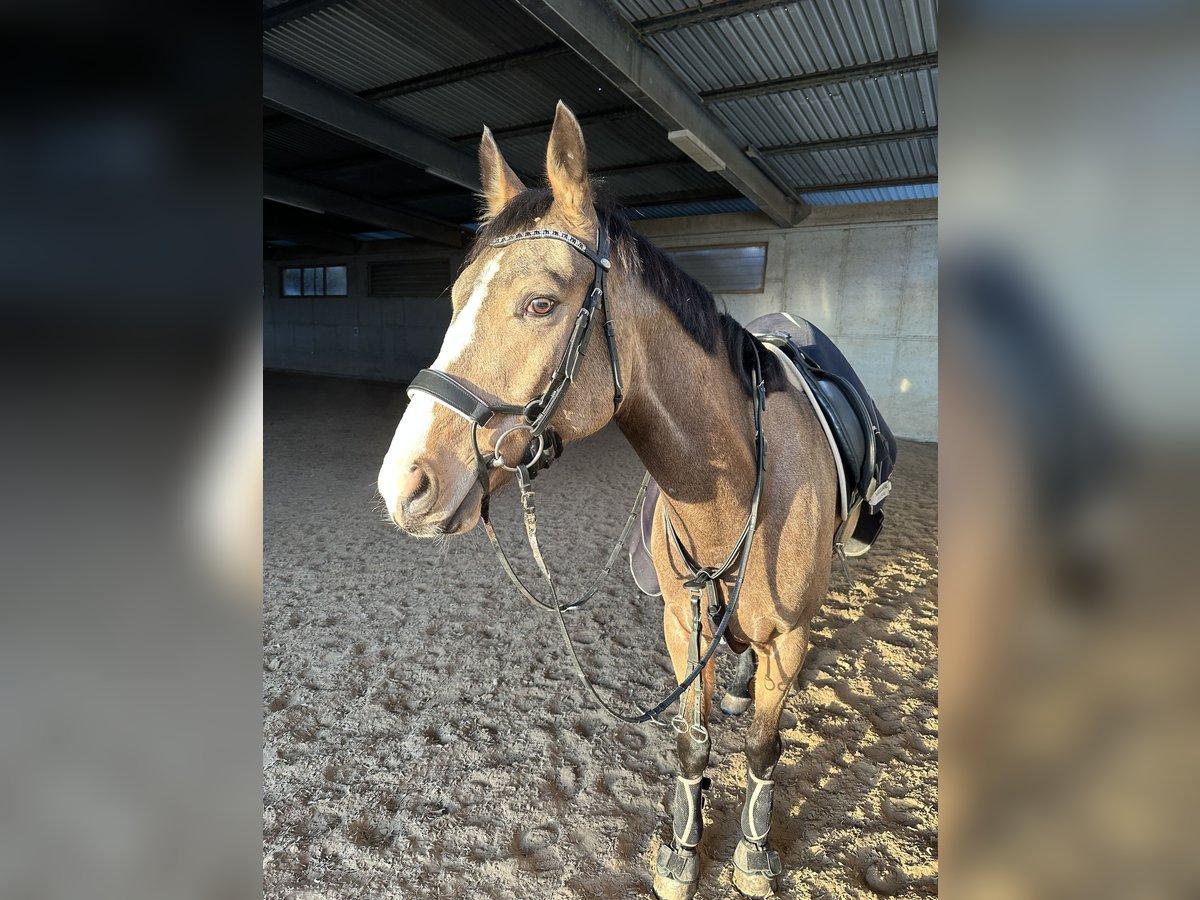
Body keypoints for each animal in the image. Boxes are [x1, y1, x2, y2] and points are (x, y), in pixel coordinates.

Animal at [379, 102, 897, 897]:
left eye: (540, 302)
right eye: (458, 299)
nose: (404, 482)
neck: (739, 488)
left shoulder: (787, 636)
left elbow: (764, 747)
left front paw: (753, 851)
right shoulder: (682, 626)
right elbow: (694, 743)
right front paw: (683, 848)